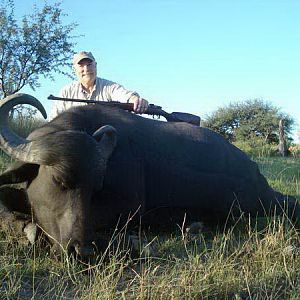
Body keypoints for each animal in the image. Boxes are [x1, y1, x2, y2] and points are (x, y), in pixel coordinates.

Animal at [0, 94, 298, 258]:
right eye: (60, 180)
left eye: (96, 187)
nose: (81, 250)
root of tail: (254, 171)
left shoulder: (128, 208)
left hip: (258, 203)